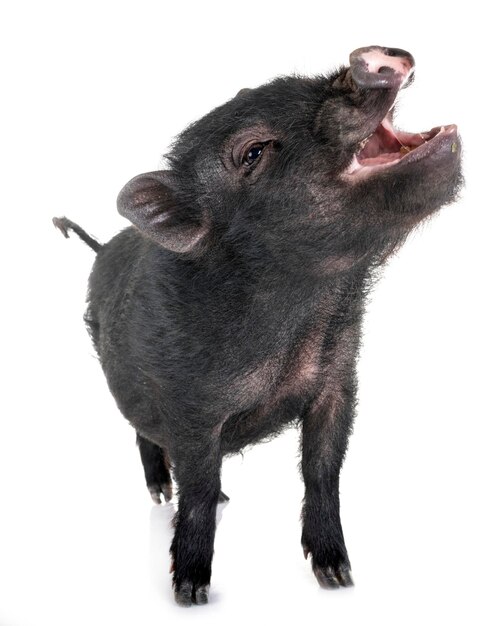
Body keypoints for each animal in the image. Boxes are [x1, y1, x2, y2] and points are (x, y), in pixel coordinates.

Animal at [54, 47, 460, 604]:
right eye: (252, 153)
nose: (371, 57)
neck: (304, 313)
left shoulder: (338, 383)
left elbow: (322, 470)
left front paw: (338, 578)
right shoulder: (190, 409)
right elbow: (198, 492)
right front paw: (191, 594)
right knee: (144, 437)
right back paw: (161, 495)